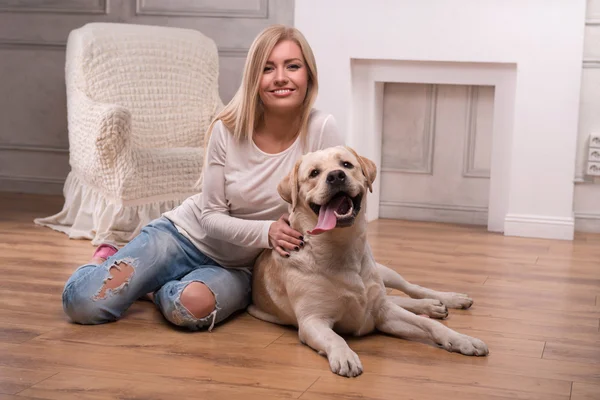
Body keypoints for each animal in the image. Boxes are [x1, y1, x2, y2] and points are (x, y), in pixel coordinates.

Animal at [247, 145, 488, 376]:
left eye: (346, 164)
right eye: (314, 173)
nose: (336, 176)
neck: (341, 247)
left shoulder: (384, 314)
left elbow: (427, 324)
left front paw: (463, 340)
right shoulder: (312, 320)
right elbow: (335, 337)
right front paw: (345, 356)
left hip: (385, 272)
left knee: (409, 288)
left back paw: (447, 300)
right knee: (395, 298)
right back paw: (432, 306)